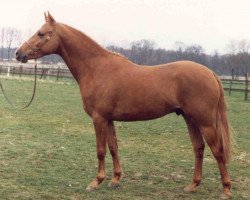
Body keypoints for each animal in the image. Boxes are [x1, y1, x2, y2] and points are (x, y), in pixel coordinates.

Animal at [16, 12, 232, 198]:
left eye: (41, 33)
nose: (19, 54)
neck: (96, 68)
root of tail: (211, 73)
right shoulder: (109, 119)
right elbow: (113, 147)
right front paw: (115, 180)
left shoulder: (99, 118)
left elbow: (100, 150)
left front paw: (96, 182)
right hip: (190, 118)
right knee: (199, 148)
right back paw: (193, 185)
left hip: (205, 122)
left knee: (217, 151)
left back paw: (226, 190)